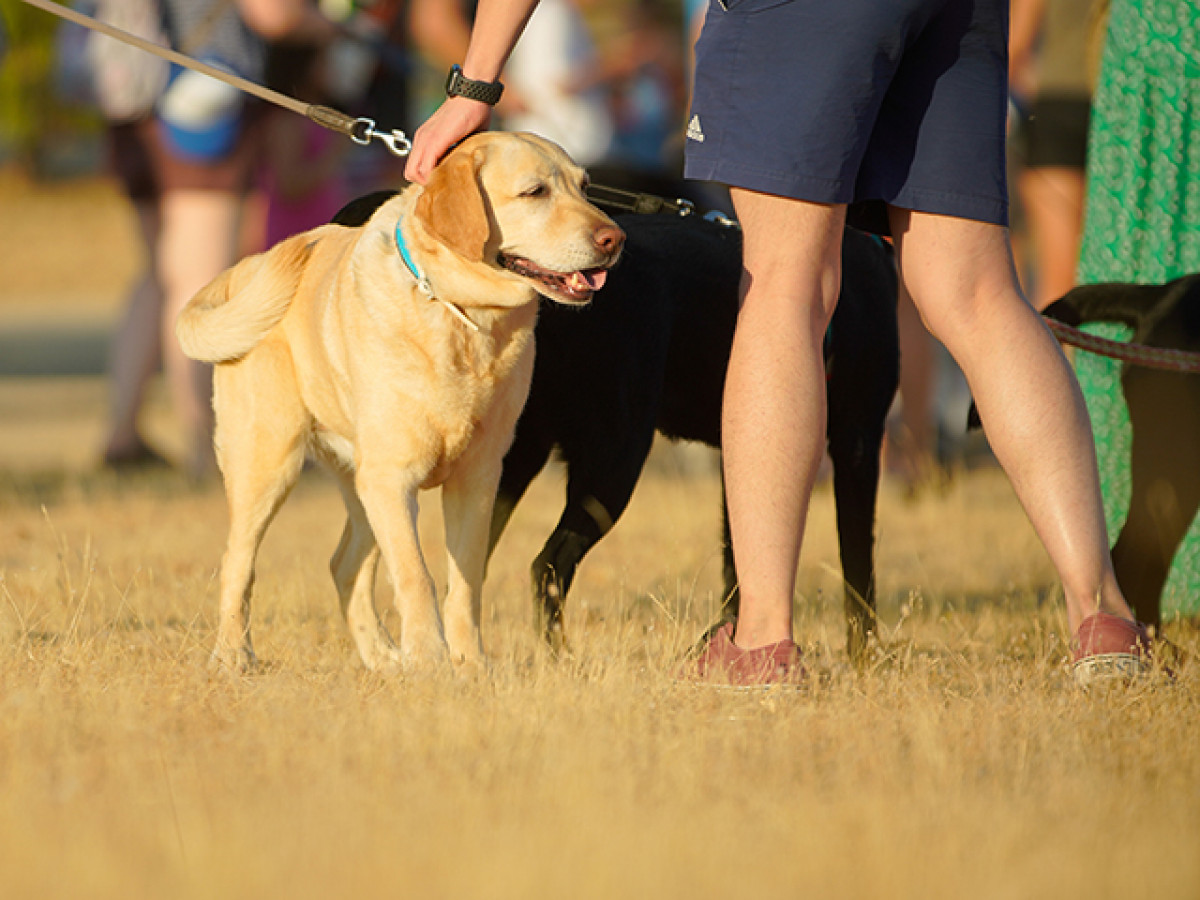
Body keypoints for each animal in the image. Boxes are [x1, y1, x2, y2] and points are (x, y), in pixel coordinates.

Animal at [181, 132, 628, 672]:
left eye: (584, 186)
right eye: (534, 192)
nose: (615, 239)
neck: (464, 318)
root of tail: (245, 268)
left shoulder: (478, 479)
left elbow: (465, 581)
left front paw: (470, 664)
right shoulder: (393, 479)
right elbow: (417, 576)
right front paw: (431, 660)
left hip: (358, 484)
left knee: (344, 565)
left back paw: (381, 658)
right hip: (269, 464)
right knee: (238, 562)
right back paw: (234, 655)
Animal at [487, 213, 902, 657]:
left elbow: (741, 554)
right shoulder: (858, 441)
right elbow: (858, 567)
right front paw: (868, 656)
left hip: (517, 458)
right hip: (615, 456)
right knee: (548, 565)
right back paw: (559, 658)